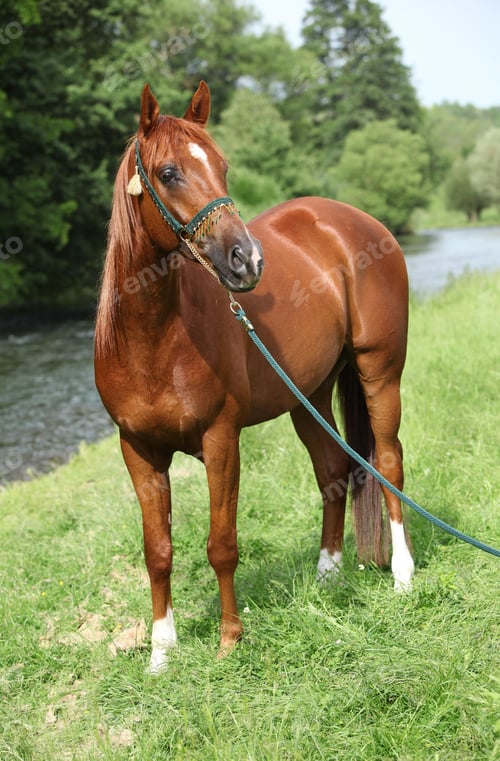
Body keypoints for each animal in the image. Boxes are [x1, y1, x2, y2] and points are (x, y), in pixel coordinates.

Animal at [95, 81, 414, 673]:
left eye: (222, 166)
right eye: (168, 172)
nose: (246, 260)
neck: (154, 340)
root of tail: (357, 220)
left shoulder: (222, 440)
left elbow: (221, 543)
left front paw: (229, 640)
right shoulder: (139, 450)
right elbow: (158, 551)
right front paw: (161, 653)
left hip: (380, 372)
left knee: (386, 462)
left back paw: (403, 576)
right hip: (308, 396)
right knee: (334, 469)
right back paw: (327, 574)